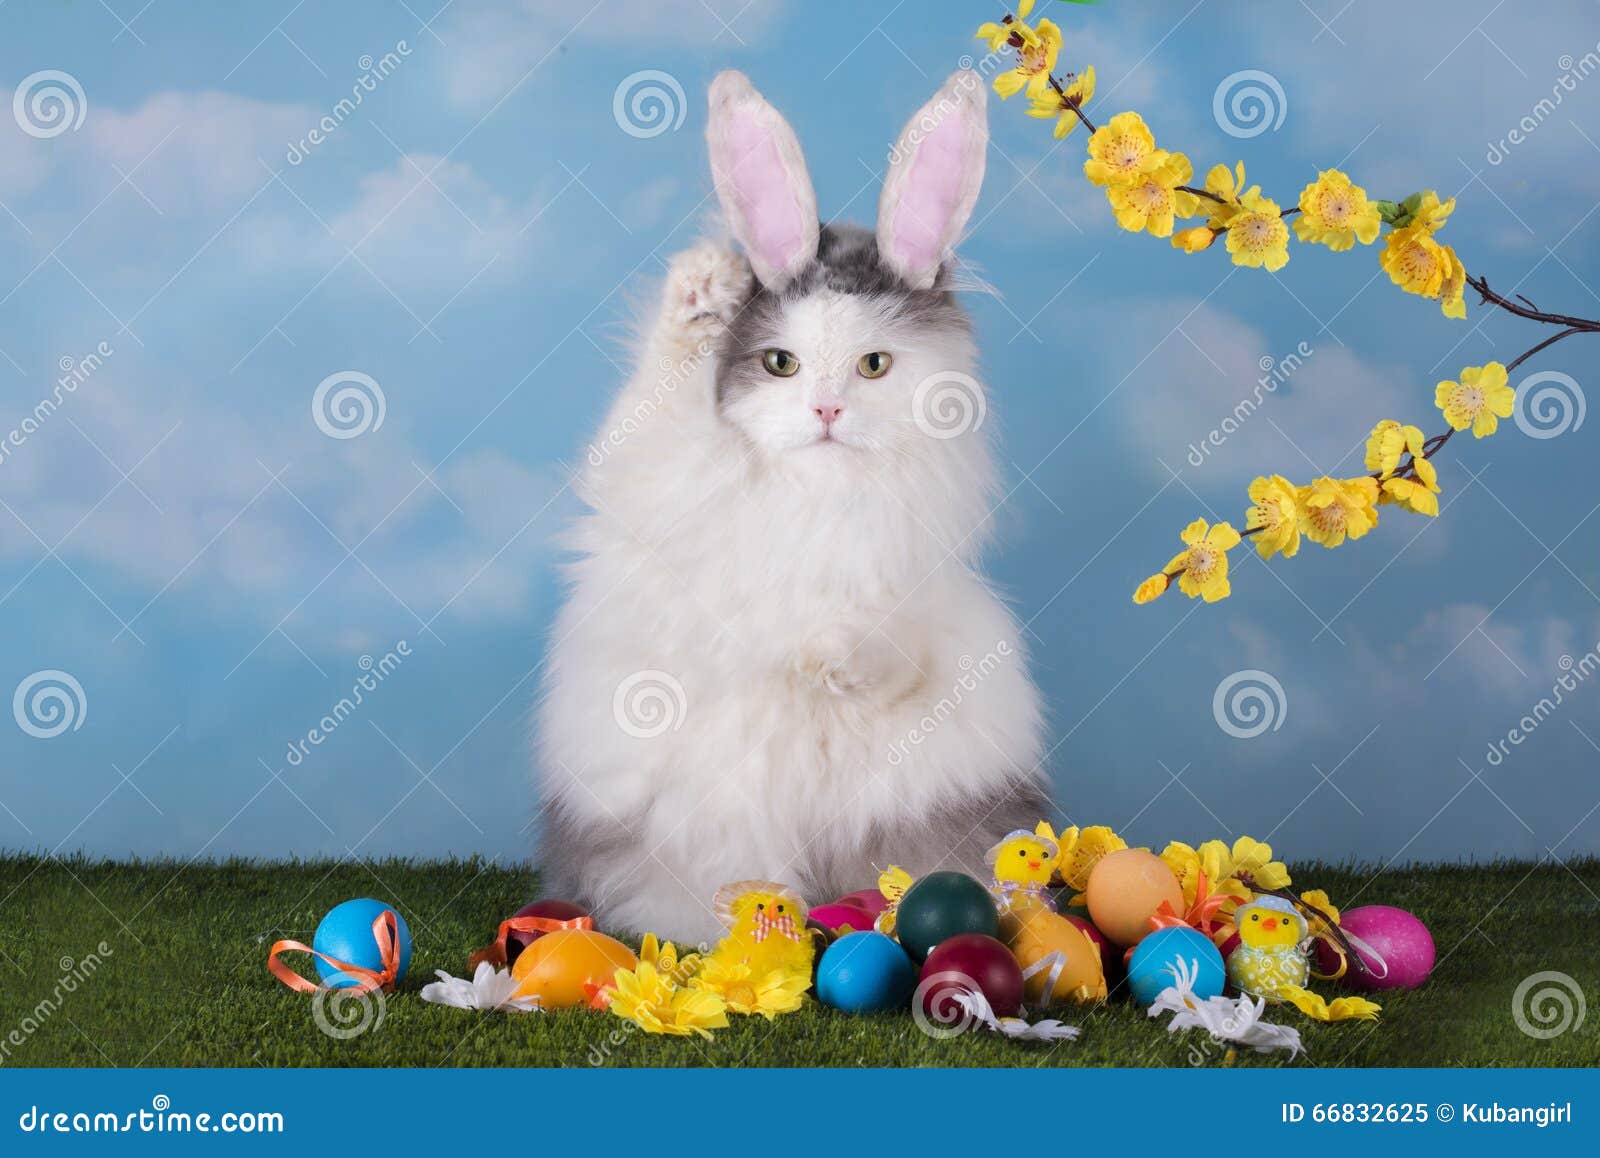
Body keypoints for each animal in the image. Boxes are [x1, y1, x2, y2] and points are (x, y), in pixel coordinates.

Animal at [540, 67, 1049, 946]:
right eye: (779, 364)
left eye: (875, 366)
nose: (826, 412)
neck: (817, 489)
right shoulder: (667, 475)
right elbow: (669, 399)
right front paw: (704, 284)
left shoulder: (914, 604)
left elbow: (885, 652)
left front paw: (828, 662)